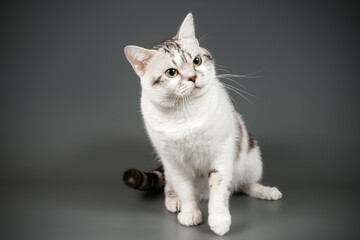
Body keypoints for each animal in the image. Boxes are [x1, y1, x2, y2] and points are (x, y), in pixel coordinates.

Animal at [122, 12, 282, 235]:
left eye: (196, 61)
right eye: (171, 72)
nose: (193, 77)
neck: (187, 113)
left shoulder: (221, 153)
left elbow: (219, 190)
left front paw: (219, 220)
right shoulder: (174, 162)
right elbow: (185, 190)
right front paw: (190, 213)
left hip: (252, 161)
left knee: (242, 185)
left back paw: (266, 191)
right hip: (168, 168)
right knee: (170, 187)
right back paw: (174, 202)